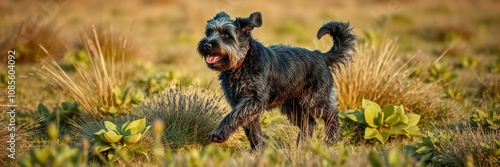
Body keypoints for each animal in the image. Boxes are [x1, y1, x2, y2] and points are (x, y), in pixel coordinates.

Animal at [195, 11, 356, 150]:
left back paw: (331, 139)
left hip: (316, 100)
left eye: (226, 35)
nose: (207, 45)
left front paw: (218, 134)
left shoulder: (253, 100)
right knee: (309, 124)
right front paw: (259, 151)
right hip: (293, 106)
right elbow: (252, 130)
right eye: (209, 32)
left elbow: (232, 116)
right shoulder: (243, 104)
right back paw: (301, 147)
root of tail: (320, 56)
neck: (243, 62)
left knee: (332, 115)